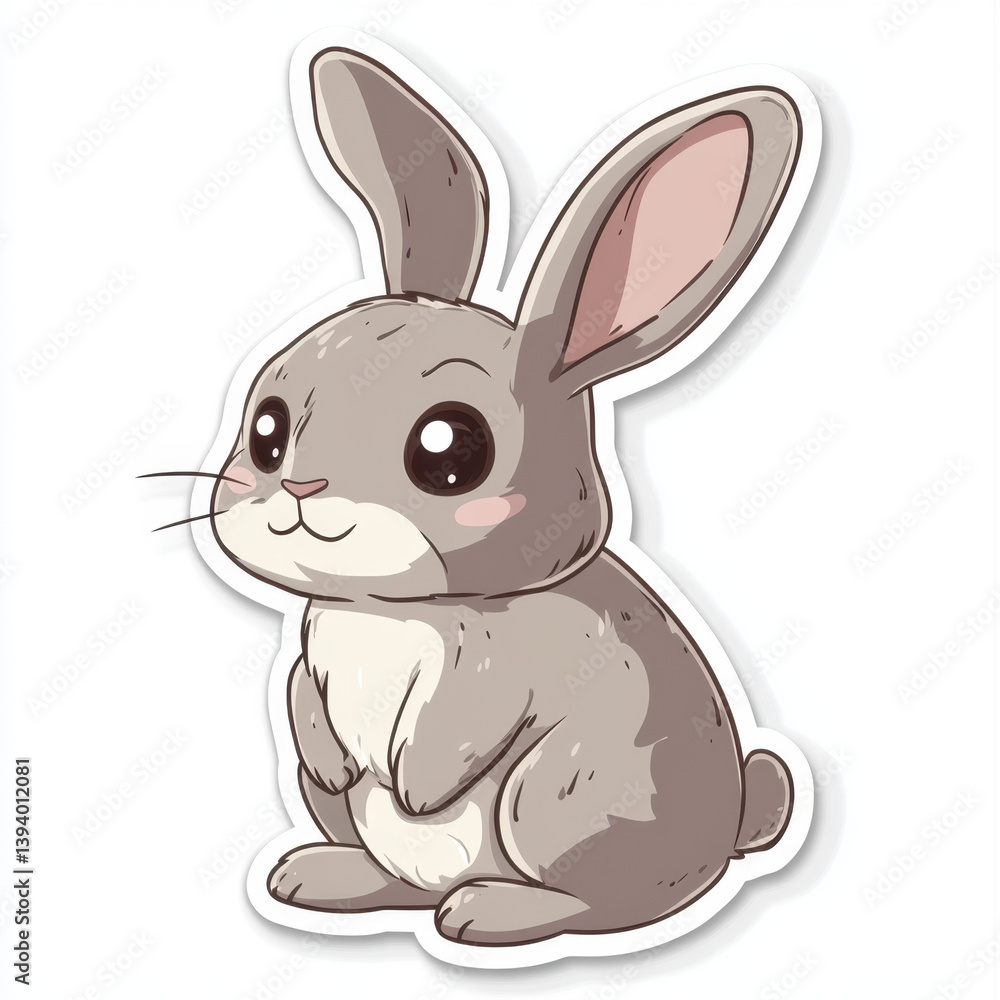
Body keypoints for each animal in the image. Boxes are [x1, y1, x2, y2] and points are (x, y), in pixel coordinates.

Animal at [205, 46, 814, 949]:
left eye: (451, 452)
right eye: (269, 431)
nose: (303, 489)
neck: (397, 609)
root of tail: (729, 827)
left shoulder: (501, 673)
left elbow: (459, 730)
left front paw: (419, 789)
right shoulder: (314, 653)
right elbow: (303, 702)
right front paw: (332, 758)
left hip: (556, 796)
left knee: (608, 903)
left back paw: (489, 911)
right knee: (400, 881)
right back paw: (325, 876)